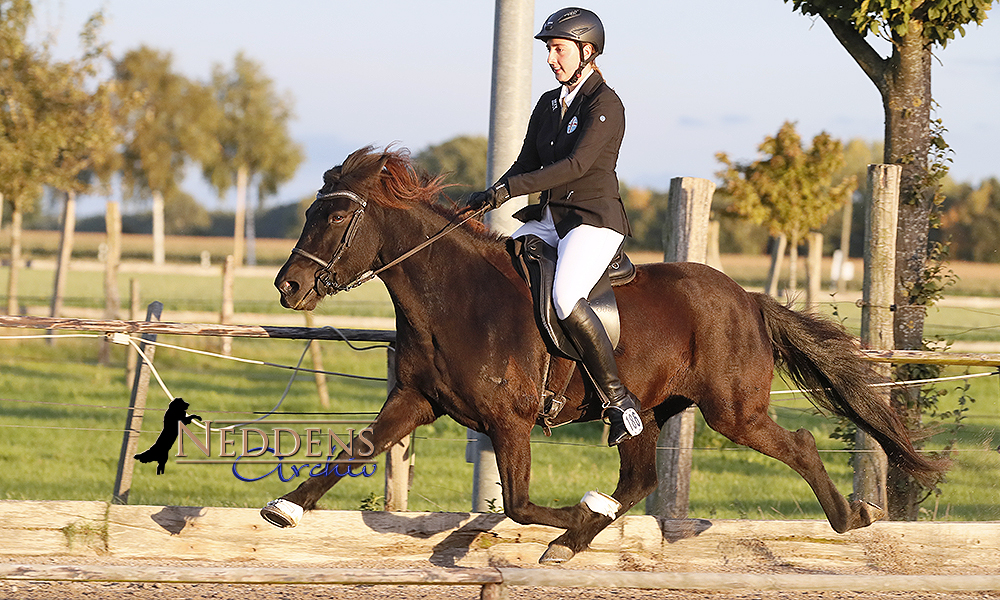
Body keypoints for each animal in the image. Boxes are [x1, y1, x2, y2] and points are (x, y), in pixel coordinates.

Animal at [264, 145, 944, 564]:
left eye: (334, 218)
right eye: (312, 211)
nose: (288, 286)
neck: (452, 297)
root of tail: (746, 298)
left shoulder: (509, 421)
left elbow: (520, 506)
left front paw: (574, 513)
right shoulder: (415, 400)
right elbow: (355, 449)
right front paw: (285, 509)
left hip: (733, 410)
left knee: (796, 445)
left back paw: (851, 517)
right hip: (652, 409)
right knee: (640, 476)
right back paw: (585, 531)